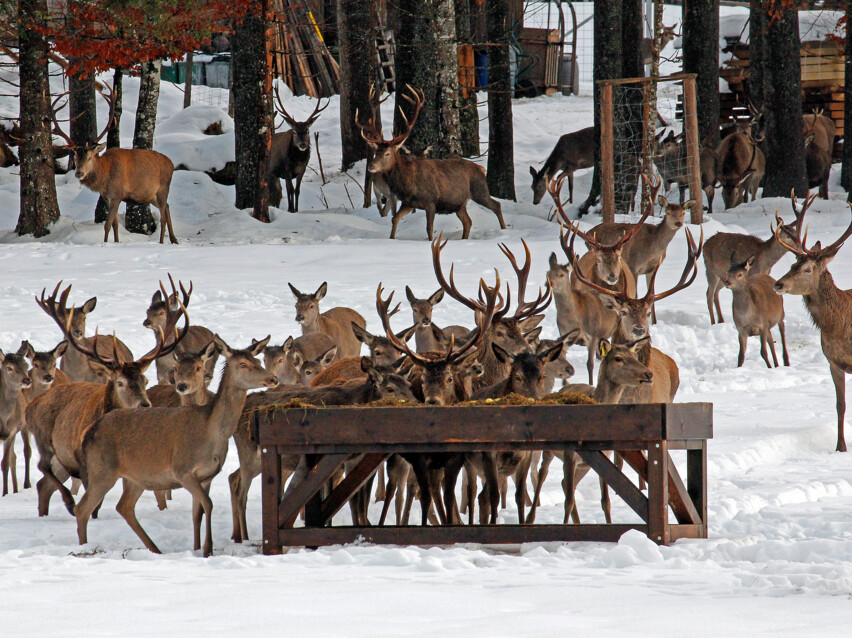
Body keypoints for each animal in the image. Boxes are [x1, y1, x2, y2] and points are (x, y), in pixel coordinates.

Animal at [27, 282, 190, 520]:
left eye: (145, 379)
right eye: (119, 382)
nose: (144, 405)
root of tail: (32, 405)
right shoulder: (86, 460)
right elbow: (94, 504)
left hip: (63, 459)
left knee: (43, 485)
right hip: (44, 438)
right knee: (43, 467)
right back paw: (68, 502)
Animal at [50, 85, 179, 245]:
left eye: (90, 158)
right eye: (75, 157)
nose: (79, 173)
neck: (105, 176)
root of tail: (171, 163)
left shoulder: (117, 194)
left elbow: (107, 224)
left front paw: (105, 243)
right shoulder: (108, 197)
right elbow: (115, 224)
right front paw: (116, 242)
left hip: (162, 188)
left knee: (163, 216)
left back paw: (161, 242)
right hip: (150, 195)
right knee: (167, 207)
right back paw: (174, 239)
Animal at [354, 85, 506, 242]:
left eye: (387, 153)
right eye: (376, 151)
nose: (371, 166)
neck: (408, 184)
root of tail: (481, 168)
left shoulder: (430, 202)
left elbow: (429, 228)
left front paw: (431, 241)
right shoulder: (408, 202)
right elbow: (394, 219)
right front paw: (391, 238)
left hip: (479, 189)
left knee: (496, 205)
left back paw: (504, 230)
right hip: (459, 203)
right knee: (468, 221)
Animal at [772, 191, 852, 456]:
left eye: (807, 269)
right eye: (792, 264)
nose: (778, 284)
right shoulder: (834, 362)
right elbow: (840, 404)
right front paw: (840, 448)